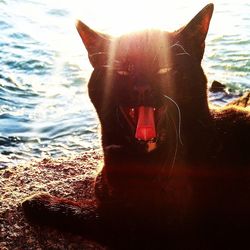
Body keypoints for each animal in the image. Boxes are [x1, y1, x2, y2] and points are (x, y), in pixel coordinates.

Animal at [22, 4, 249, 250]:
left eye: (164, 69)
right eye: (122, 71)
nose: (141, 88)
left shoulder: (147, 231)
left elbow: (90, 215)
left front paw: (38, 202)